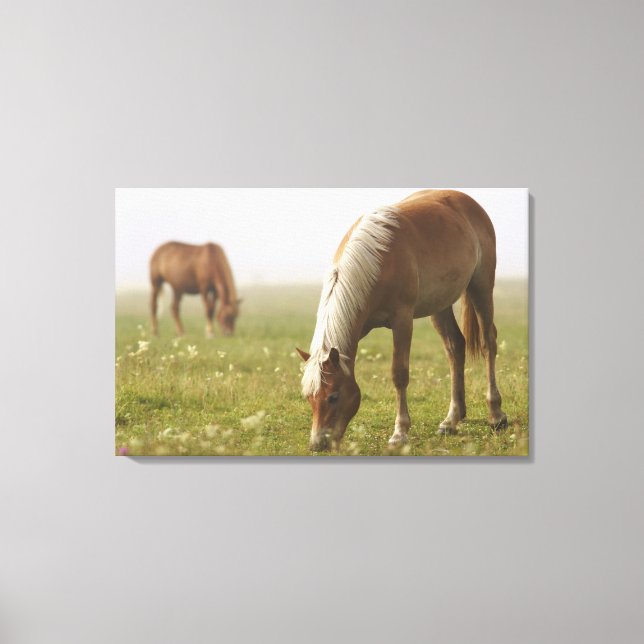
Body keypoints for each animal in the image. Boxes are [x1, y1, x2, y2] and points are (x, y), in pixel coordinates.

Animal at [297, 189, 507, 452]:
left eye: (333, 396)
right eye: (309, 397)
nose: (317, 444)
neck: (377, 260)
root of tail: (468, 202)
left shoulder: (402, 321)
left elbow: (399, 374)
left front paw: (400, 432)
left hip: (482, 286)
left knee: (489, 343)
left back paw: (496, 414)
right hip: (439, 305)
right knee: (455, 347)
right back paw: (451, 420)